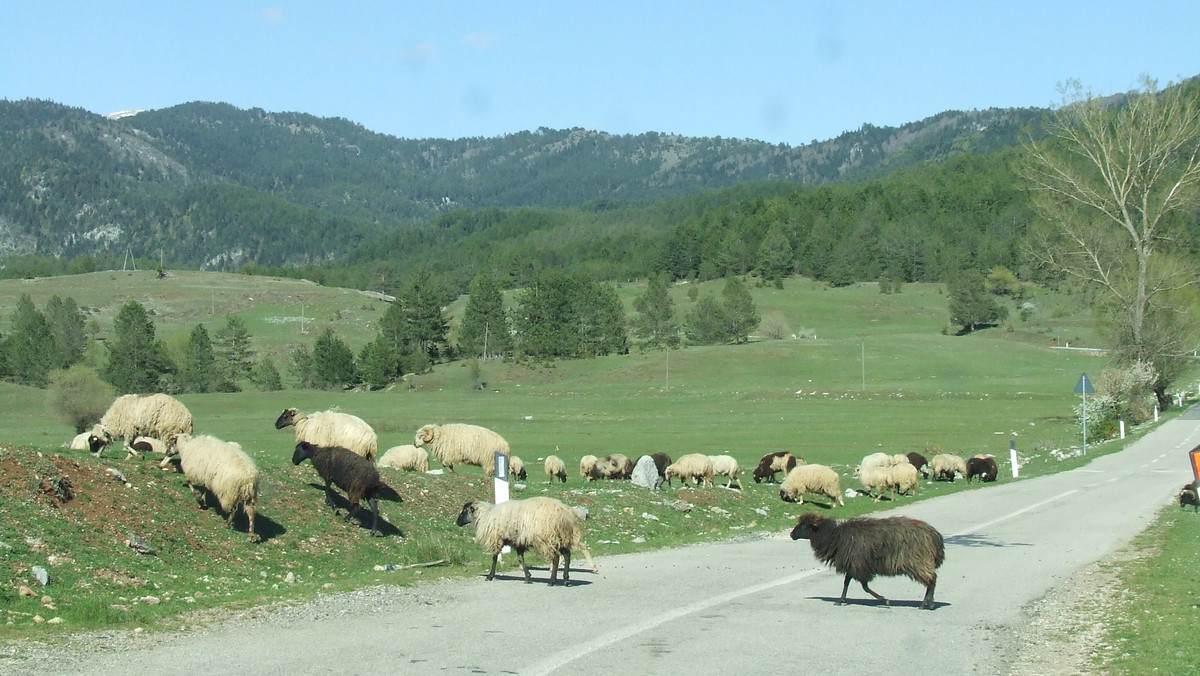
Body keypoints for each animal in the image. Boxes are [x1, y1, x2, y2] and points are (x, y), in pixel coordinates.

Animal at [451, 497, 597, 588]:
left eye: (464, 510)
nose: (457, 522)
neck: (485, 515)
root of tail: (565, 513)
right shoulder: (518, 541)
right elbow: (520, 559)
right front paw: (527, 577)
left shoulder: (497, 539)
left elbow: (494, 557)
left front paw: (490, 576)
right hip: (563, 537)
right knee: (567, 555)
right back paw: (566, 579)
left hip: (547, 538)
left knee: (555, 557)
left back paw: (552, 581)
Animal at [787, 513, 945, 614]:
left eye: (804, 525)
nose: (791, 534)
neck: (833, 537)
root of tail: (935, 536)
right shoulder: (853, 565)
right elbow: (847, 583)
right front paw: (840, 600)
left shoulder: (859, 566)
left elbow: (864, 587)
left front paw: (884, 600)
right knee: (932, 580)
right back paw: (929, 604)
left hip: (917, 561)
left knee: (931, 580)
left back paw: (926, 604)